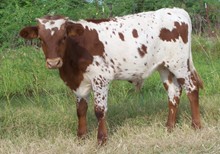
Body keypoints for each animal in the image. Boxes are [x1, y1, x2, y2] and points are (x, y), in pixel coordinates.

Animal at [19, 7, 204, 145]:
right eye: (41, 39)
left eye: (63, 37)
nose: (53, 62)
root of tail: (176, 10)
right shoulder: (79, 84)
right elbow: (80, 110)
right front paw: (81, 137)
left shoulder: (101, 79)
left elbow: (99, 110)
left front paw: (101, 140)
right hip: (164, 67)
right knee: (173, 93)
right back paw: (169, 127)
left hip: (179, 65)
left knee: (192, 89)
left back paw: (196, 126)